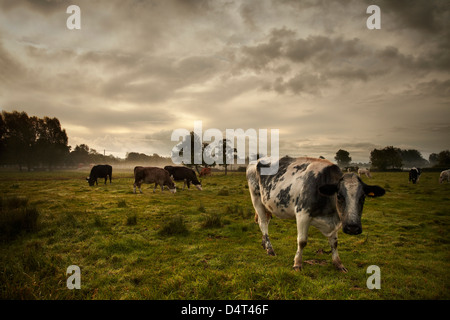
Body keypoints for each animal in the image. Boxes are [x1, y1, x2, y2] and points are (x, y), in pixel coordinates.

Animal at [248, 156, 384, 272]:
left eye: (362, 197)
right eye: (339, 196)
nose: (352, 227)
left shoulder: (334, 220)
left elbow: (334, 243)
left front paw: (338, 264)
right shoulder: (302, 214)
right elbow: (302, 241)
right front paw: (297, 263)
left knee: (265, 221)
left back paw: (264, 244)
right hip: (256, 199)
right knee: (263, 223)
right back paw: (270, 249)